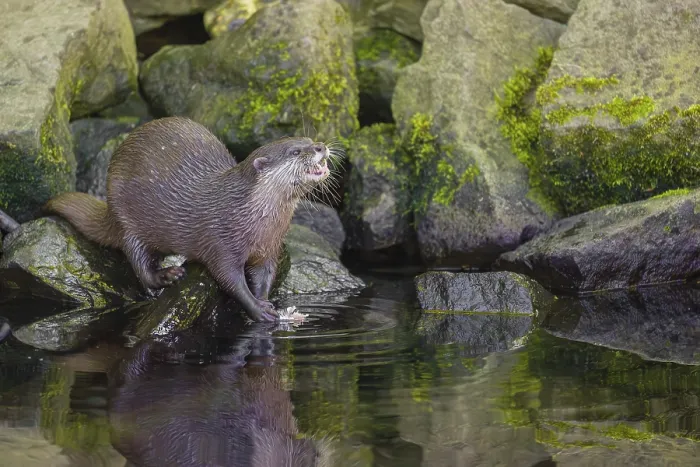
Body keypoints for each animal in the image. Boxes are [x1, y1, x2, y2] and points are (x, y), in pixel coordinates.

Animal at [44, 117, 332, 322]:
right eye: (296, 151)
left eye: (310, 139)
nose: (321, 146)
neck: (251, 217)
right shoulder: (220, 241)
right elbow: (229, 278)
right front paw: (257, 309)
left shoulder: (269, 248)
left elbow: (264, 276)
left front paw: (264, 301)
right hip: (126, 219)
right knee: (138, 261)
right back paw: (166, 276)